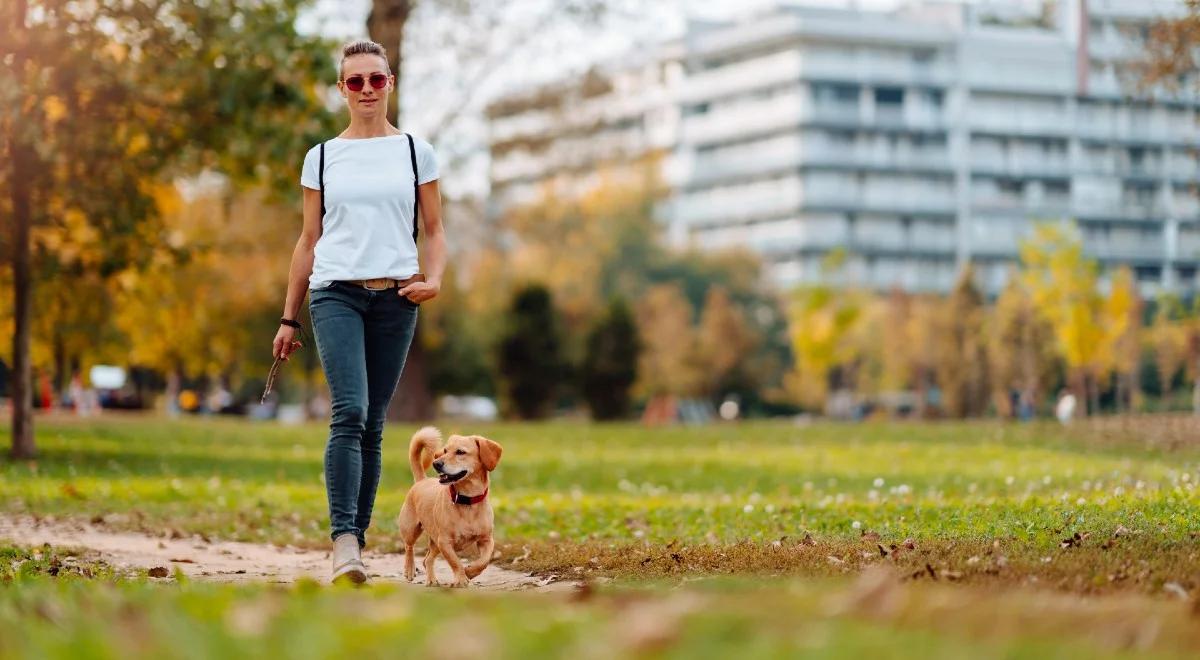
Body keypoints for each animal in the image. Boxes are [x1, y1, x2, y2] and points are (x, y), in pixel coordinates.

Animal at [398, 427, 501, 588]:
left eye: (460, 452)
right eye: (445, 450)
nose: (436, 463)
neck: (467, 501)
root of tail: (422, 480)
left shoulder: (486, 540)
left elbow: (484, 561)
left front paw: (470, 572)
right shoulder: (445, 542)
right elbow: (455, 562)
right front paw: (461, 578)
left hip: (435, 541)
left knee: (427, 560)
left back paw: (431, 579)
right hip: (411, 529)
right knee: (409, 547)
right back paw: (409, 569)